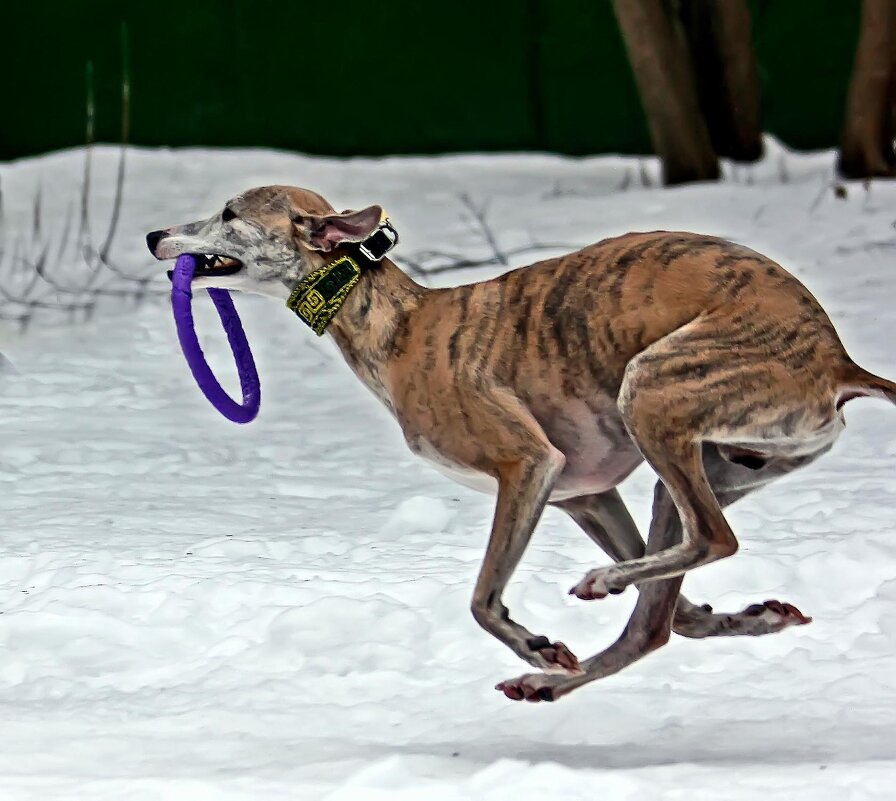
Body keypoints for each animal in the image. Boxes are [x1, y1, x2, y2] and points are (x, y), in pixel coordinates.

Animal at [147, 186, 896, 700]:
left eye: (229, 212)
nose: (155, 234)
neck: (399, 326)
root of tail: (838, 361)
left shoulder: (528, 466)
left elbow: (481, 598)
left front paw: (536, 645)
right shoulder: (582, 494)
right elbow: (680, 614)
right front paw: (741, 617)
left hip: (652, 391)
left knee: (713, 537)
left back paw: (595, 595)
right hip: (696, 463)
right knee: (656, 620)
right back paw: (565, 675)